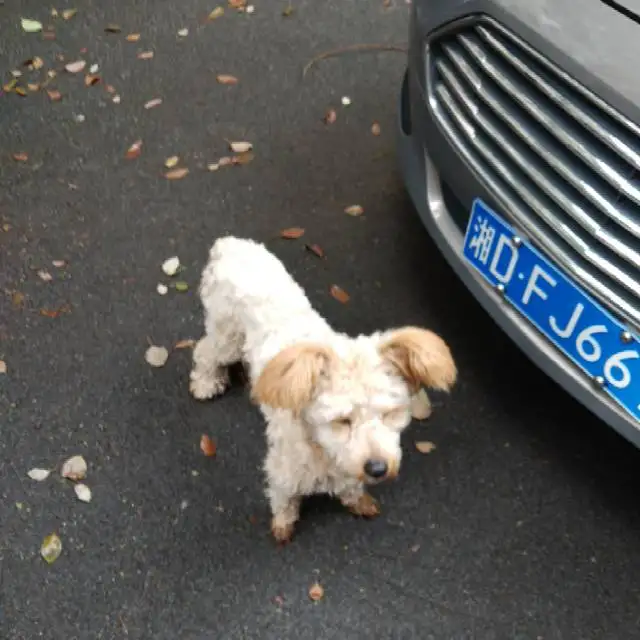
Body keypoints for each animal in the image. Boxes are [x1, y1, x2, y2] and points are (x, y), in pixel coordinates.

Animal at [188, 238, 458, 544]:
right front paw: (284, 523)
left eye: (390, 414)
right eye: (342, 420)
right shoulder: (285, 464)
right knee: (205, 351)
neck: (322, 446)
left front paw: (357, 499)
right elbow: (284, 495)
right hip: (227, 335)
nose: (378, 469)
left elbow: (350, 482)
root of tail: (230, 244)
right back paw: (206, 383)